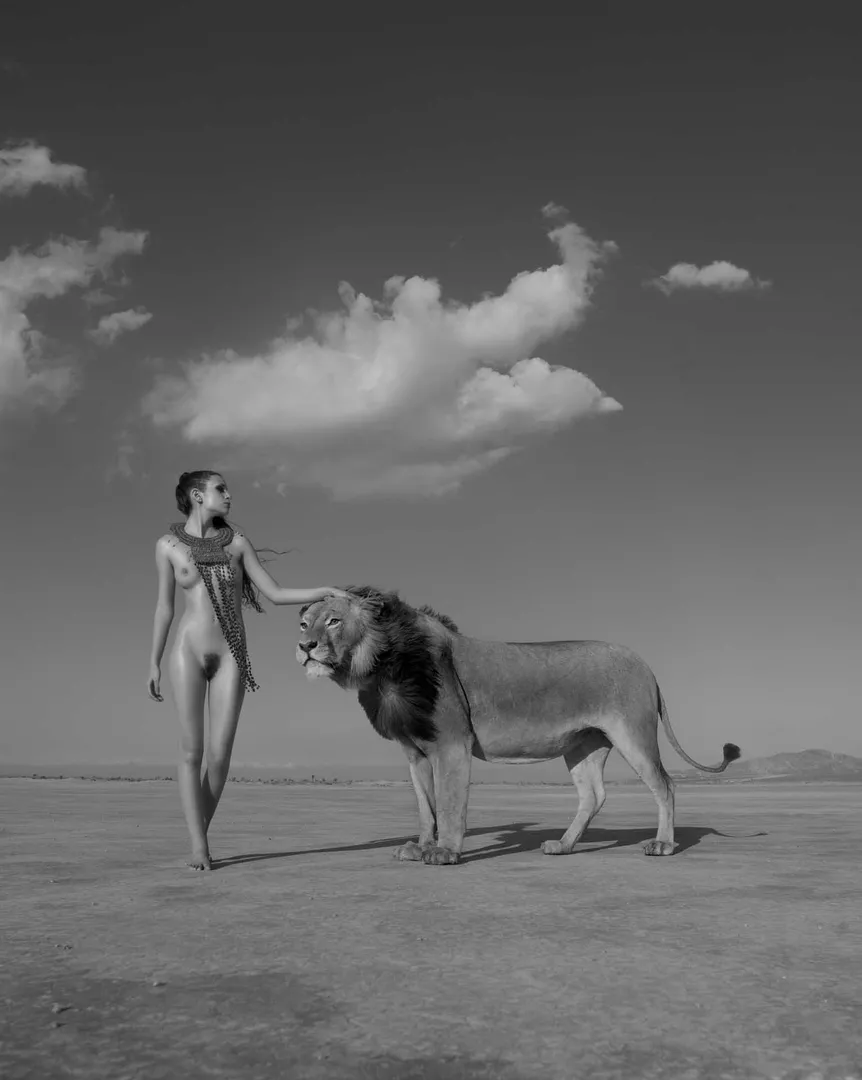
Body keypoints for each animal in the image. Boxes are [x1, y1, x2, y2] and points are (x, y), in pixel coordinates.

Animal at [296, 586, 740, 865]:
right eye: (305, 624)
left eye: (333, 621)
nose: (305, 647)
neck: (381, 667)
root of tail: (647, 667)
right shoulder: (415, 751)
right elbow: (426, 807)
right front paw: (420, 847)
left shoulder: (451, 745)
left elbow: (450, 804)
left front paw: (445, 852)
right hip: (584, 744)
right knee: (593, 795)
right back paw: (563, 846)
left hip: (632, 732)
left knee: (665, 785)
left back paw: (663, 844)